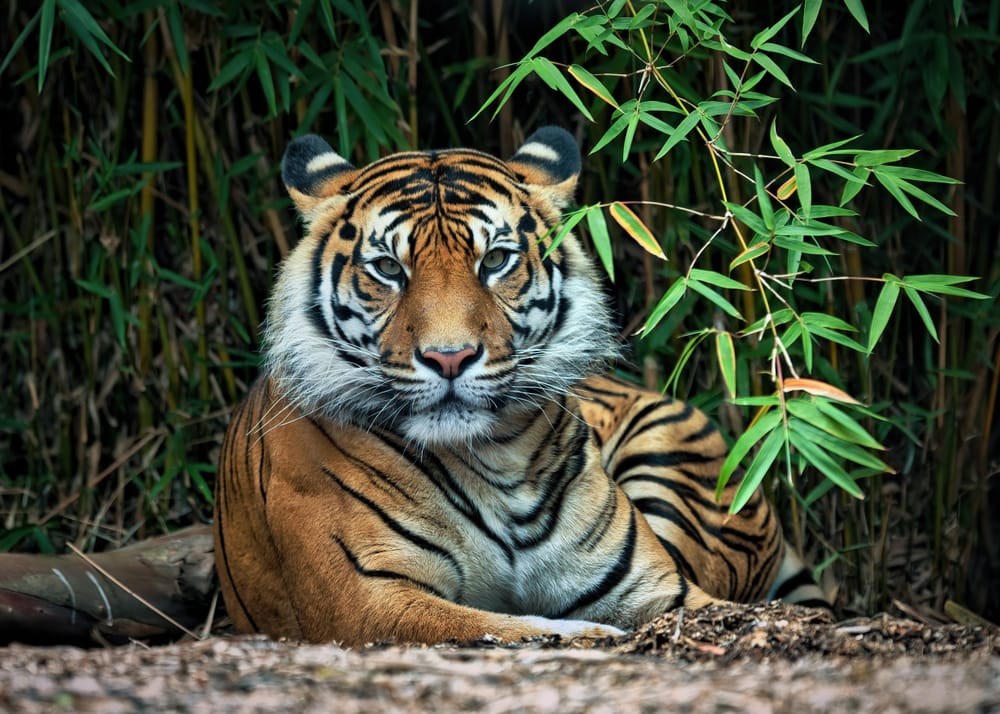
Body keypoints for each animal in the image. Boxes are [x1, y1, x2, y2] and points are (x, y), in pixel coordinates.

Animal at [213, 126, 827, 647]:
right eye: (388, 268)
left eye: (496, 260)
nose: (450, 357)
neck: (495, 459)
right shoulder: (367, 600)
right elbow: (513, 626)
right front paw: (592, 634)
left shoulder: (655, 586)